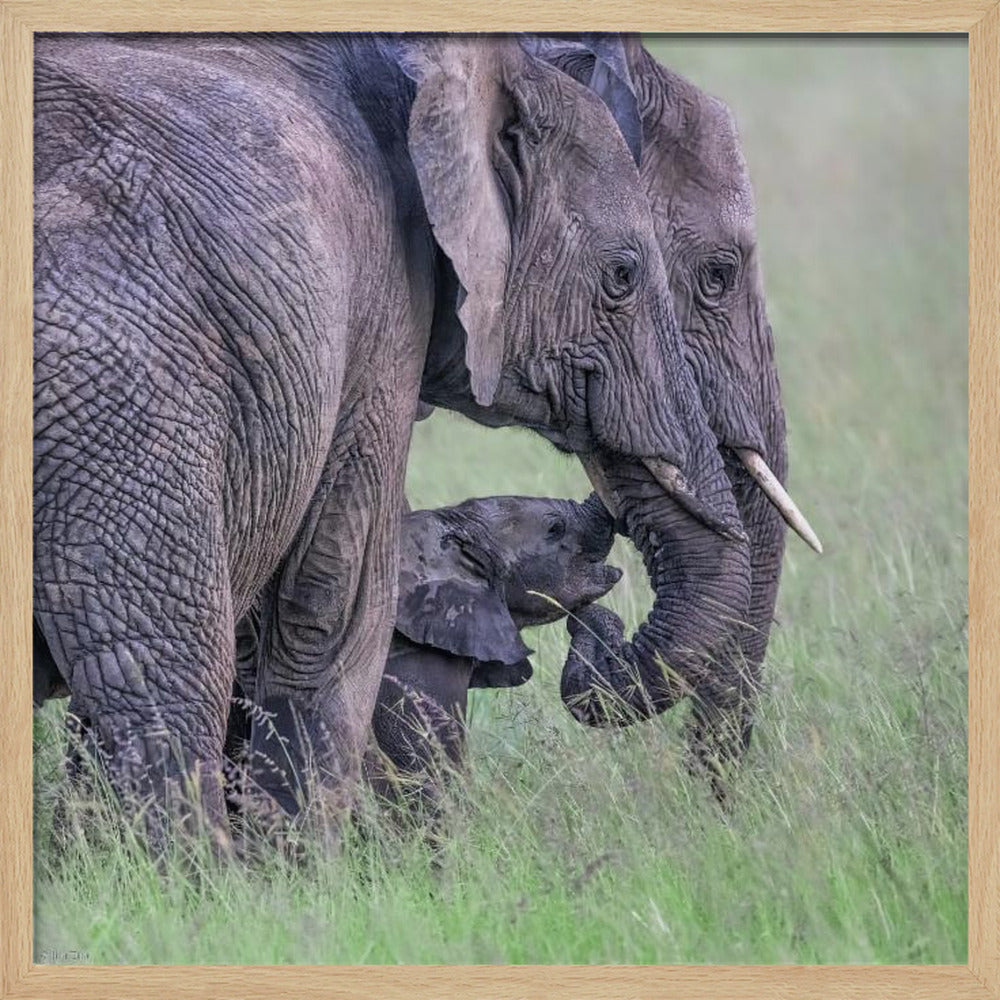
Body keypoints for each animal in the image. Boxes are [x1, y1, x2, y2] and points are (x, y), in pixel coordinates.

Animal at [33, 32, 750, 848]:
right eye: (623, 276)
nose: (598, 621)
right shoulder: (379, 310)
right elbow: (329, 607)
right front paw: (301, 873)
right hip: (126, 397)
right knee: (158, 680)